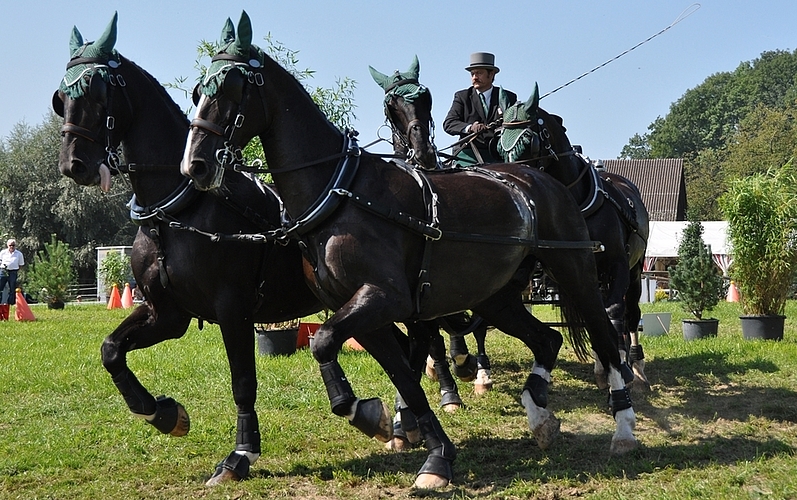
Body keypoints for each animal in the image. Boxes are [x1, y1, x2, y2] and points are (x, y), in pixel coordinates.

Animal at [52, 13, 324, 486]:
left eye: (99, 93)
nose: (74, 164)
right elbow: (110, 349)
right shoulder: (168, 313)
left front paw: (240, 455)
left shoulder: (234, 308)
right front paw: (162, 413)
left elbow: (243, 381)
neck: (176, 210)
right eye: (62, 96)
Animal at [179, 10, 636, 488]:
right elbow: (403, 376)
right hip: (495, 297)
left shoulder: (385, 298)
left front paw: (371, 415)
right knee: (547, 339)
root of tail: (542, 177)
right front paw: (427, 448)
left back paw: (623, 426)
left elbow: (325, 342)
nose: (196, 165)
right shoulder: (362, 310)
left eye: (232, 86)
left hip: (576, 272)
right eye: (198, 89)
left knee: (607, 335)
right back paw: (539, 415)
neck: (340, 192)